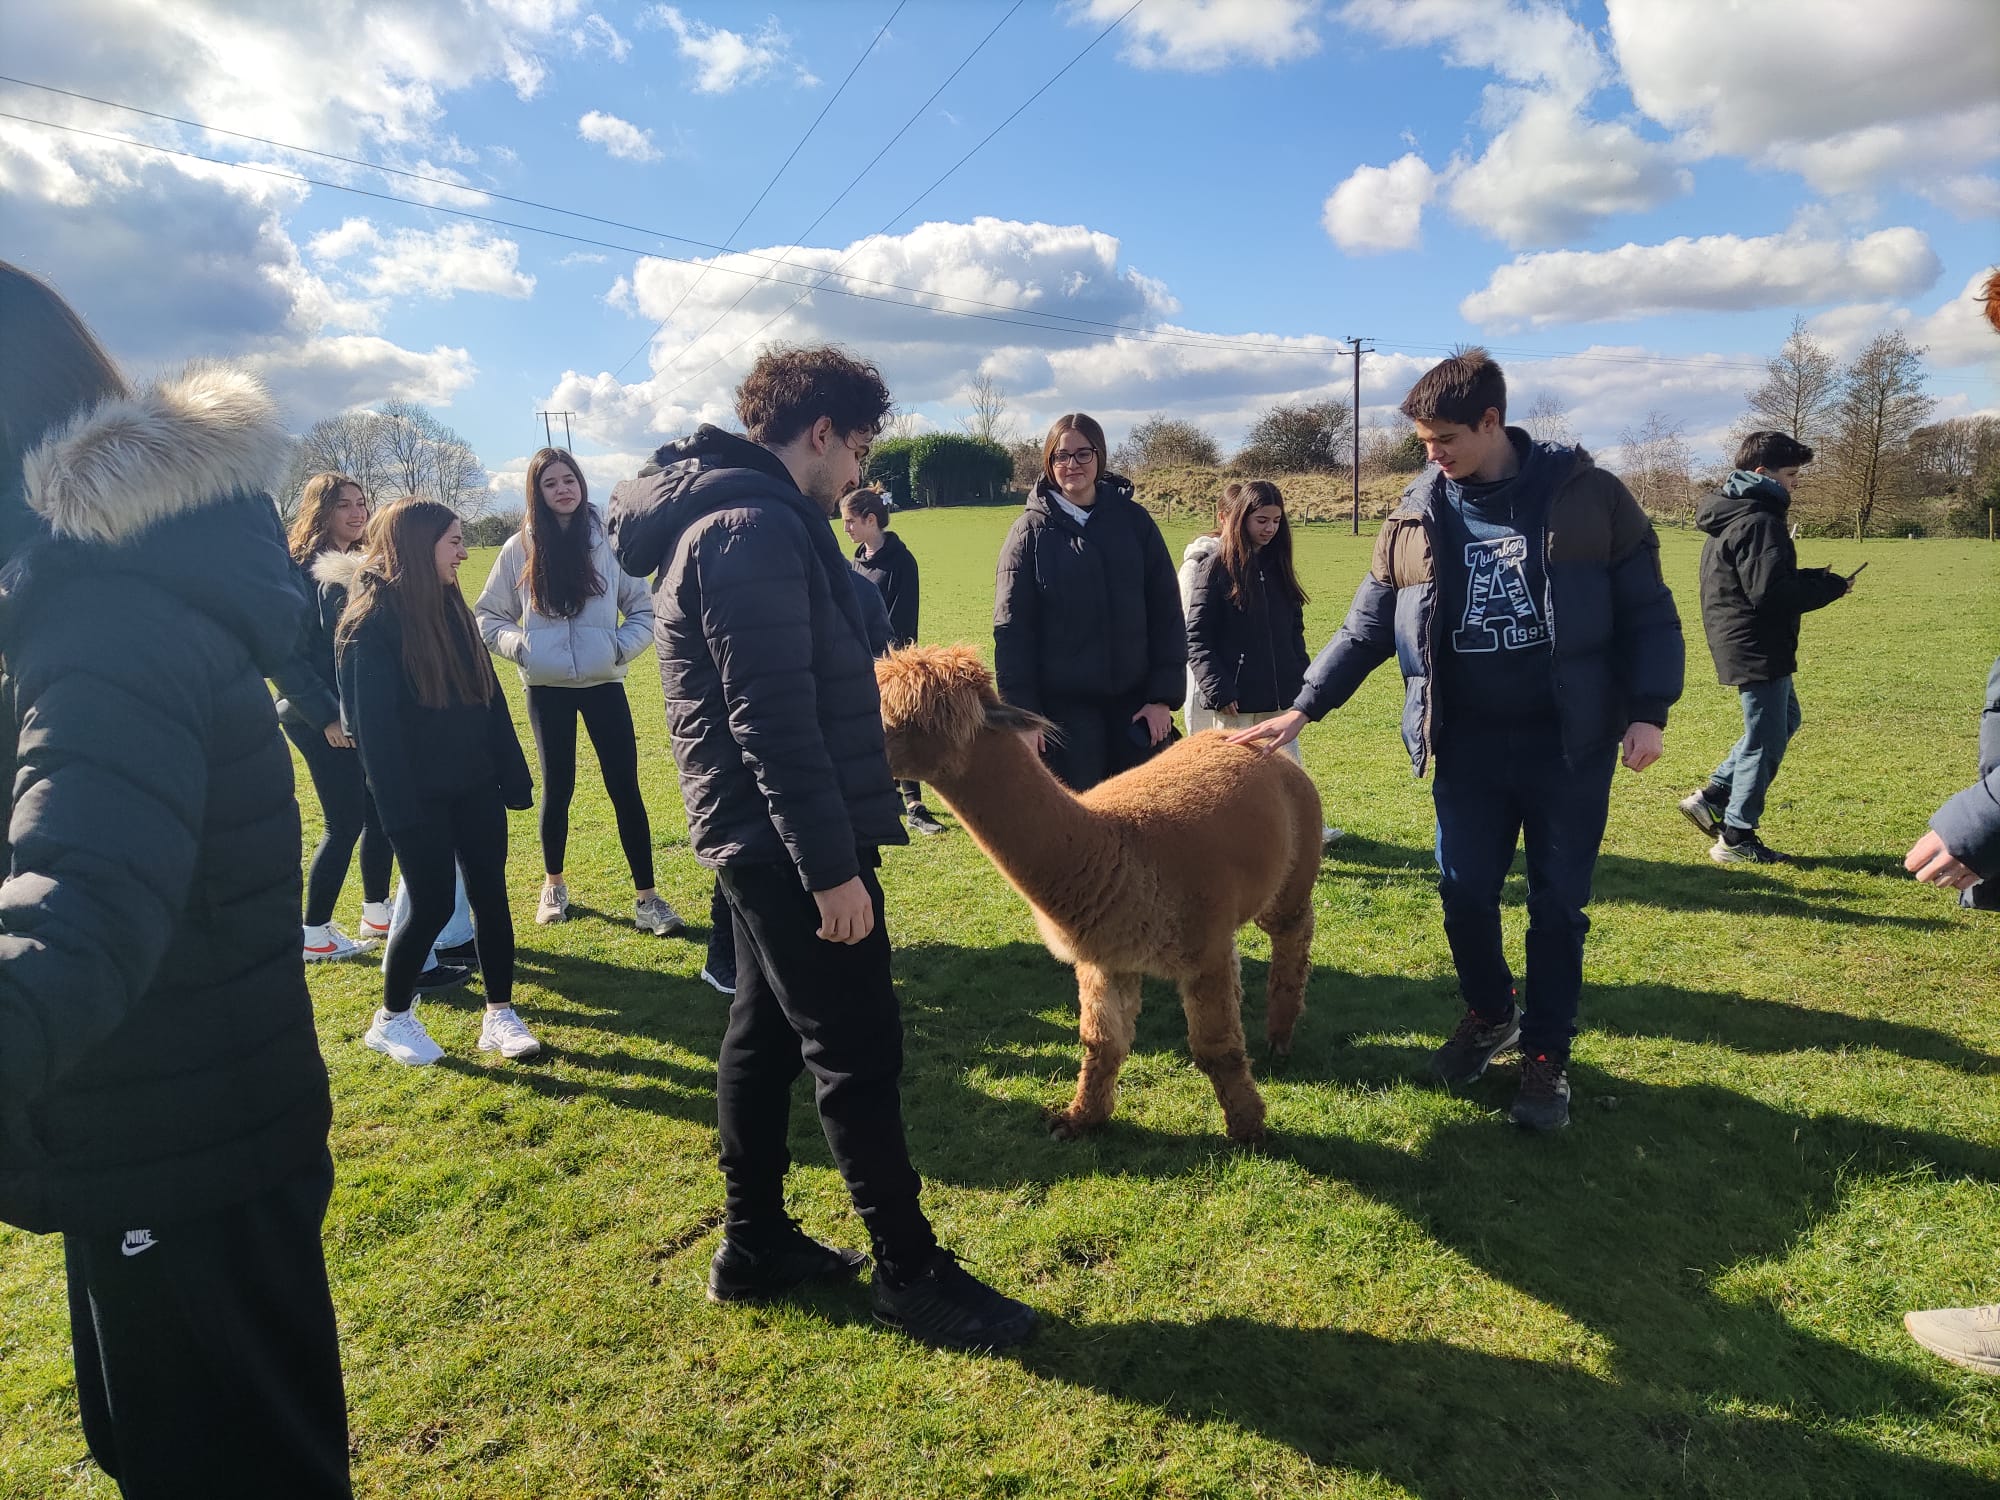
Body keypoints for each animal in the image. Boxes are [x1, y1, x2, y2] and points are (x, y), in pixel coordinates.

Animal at [875, 646, 1322, 1143]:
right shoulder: (1105, 958)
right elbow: (1102, 1042)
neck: (1114, 844)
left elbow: (1215, 1047)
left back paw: (1280, 1034)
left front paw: (1249, 1128)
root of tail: (1256, 743)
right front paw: (1078, 1119)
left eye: (899, 717)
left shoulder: (1202, 949)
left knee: (1293, 935)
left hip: (1292, 869)